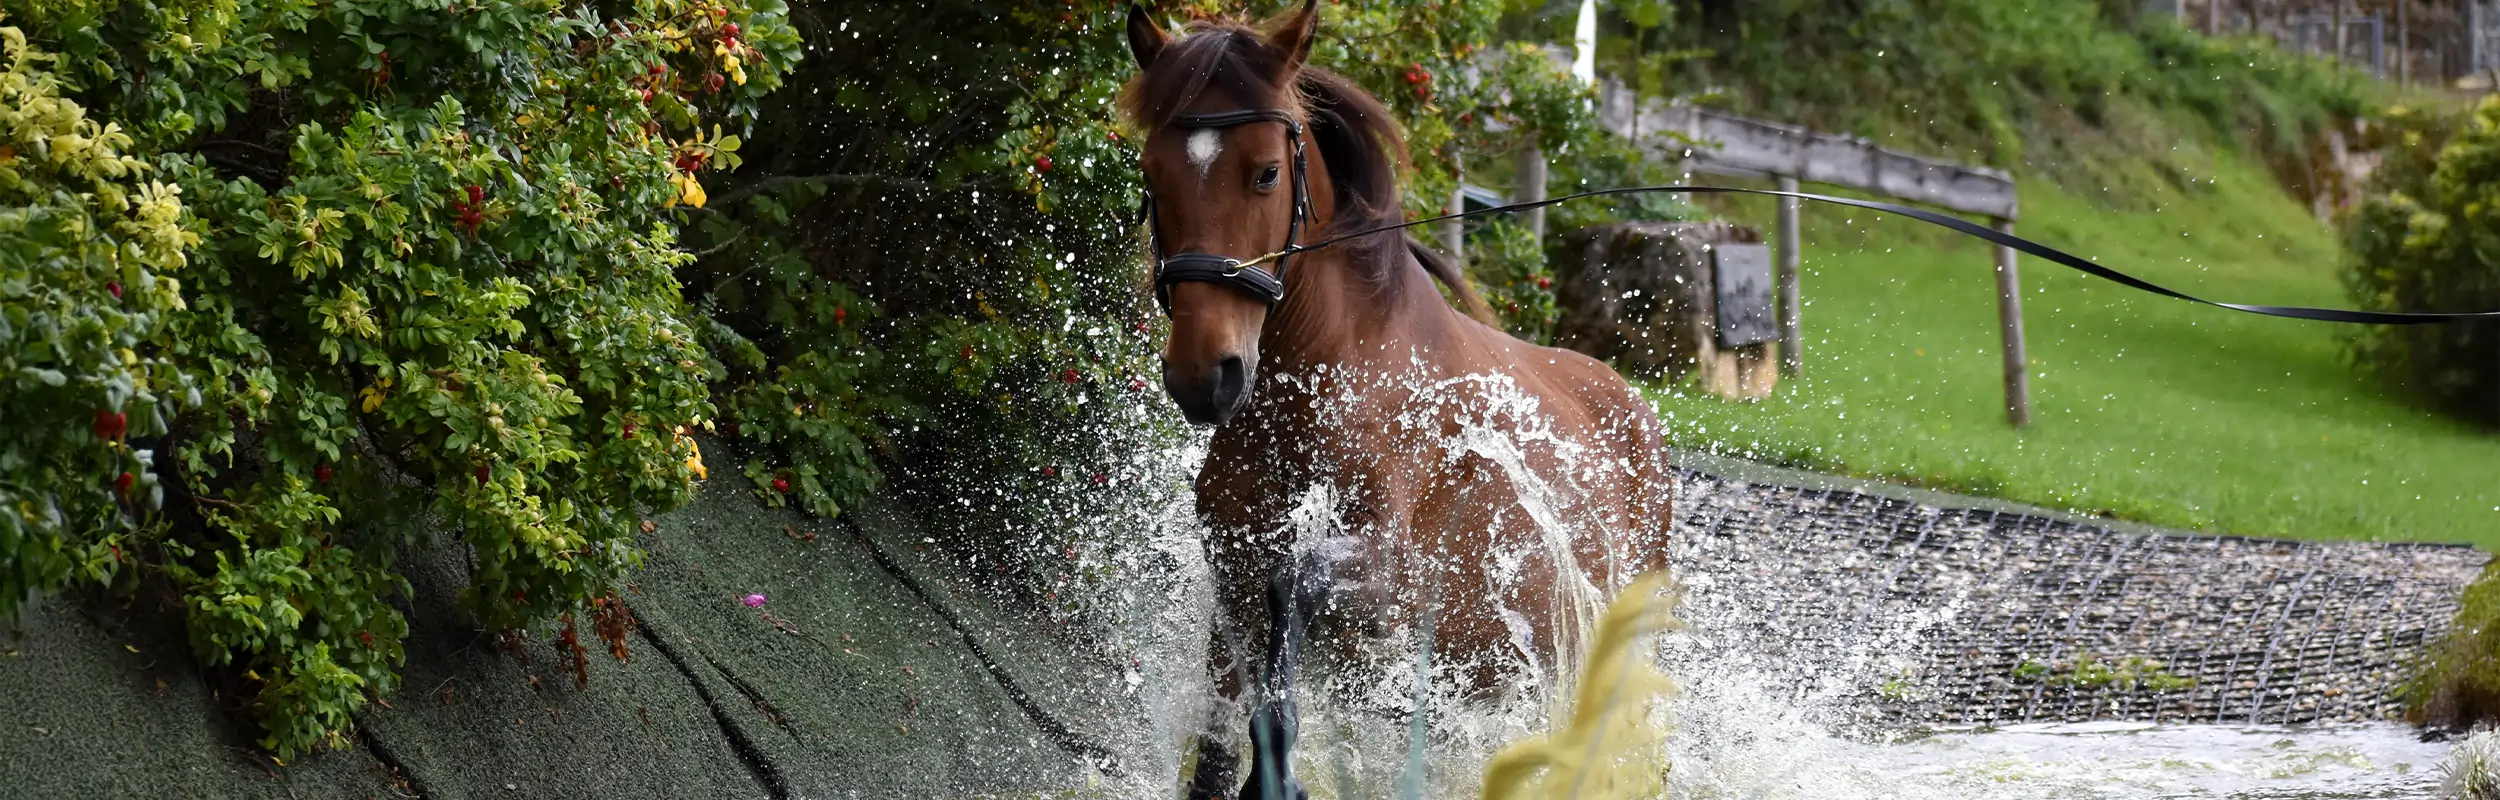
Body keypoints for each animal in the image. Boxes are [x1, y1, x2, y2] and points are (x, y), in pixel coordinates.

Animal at [1120, 3, 1673, 797]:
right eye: (1151, 175)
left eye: (1265, 172)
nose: (1204, 375)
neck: (1320, 385)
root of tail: (1633, 409)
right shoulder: (1232, 562)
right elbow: (1220, 741)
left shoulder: (1393, 584)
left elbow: (1293, 586)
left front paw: (1278, 765)